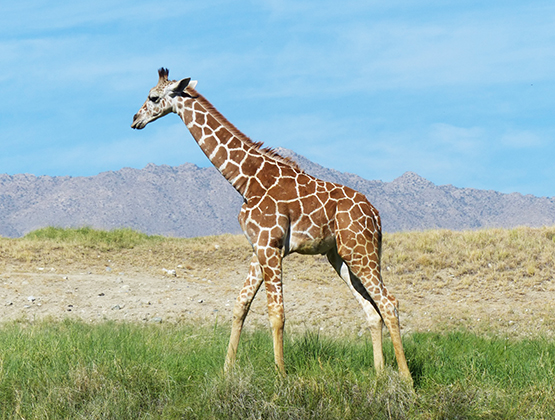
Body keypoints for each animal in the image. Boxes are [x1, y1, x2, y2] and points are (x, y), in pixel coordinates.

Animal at [132, 68, 412, 380]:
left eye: (153, 97)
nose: (135, 120)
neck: (245, 180)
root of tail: (376, 215)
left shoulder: (270, 245)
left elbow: (276, 313)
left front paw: (280, 375)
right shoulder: (259, 248)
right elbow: (240, 305)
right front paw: (227, 370)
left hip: (359, 250)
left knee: (389, 303)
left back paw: (406, 378)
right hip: (341, 256)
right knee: (371, 310)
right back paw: (379, 374)